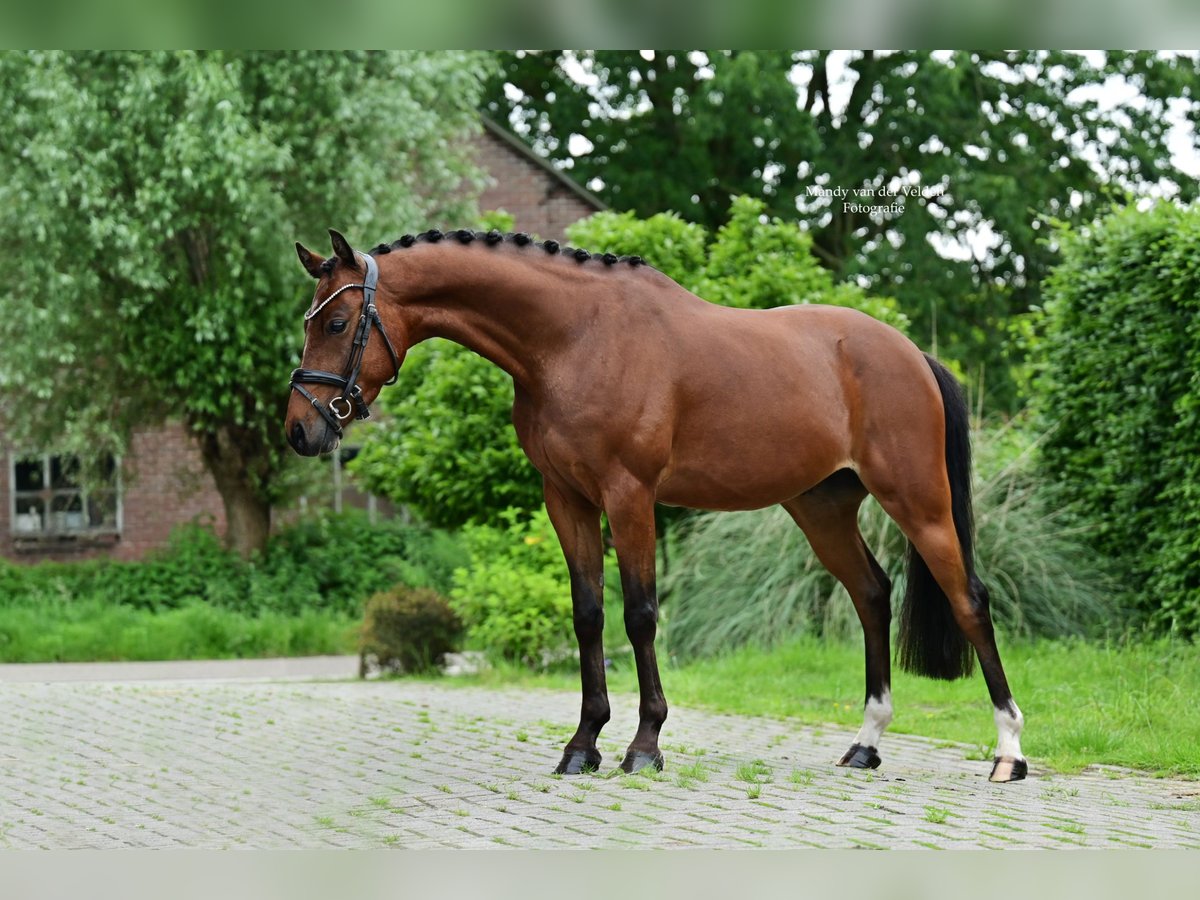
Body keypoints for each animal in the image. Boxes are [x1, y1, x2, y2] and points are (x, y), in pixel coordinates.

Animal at [285, 229, 1027, 787]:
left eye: (339, 322)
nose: (300, 430)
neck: (574, 337)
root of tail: (910, 353)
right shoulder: (567, 500)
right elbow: (588, 615)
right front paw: (582, 744)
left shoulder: (629, 494)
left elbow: (639, 614)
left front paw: (644, 745)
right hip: (821, 509)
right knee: (872, 594)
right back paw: (866, 744)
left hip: (918, 501)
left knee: (970, 600)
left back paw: (1008, 753)